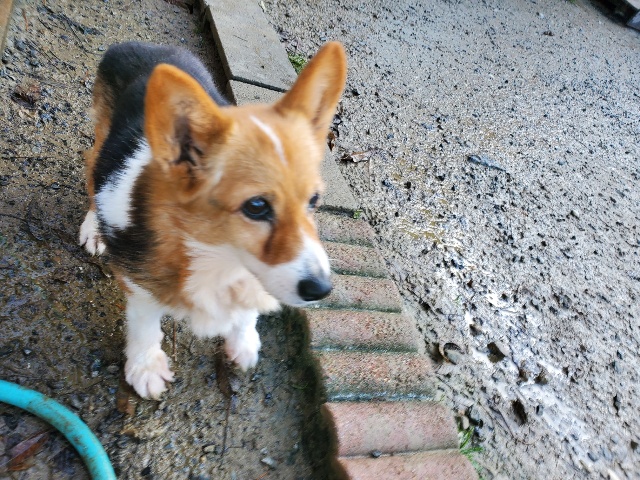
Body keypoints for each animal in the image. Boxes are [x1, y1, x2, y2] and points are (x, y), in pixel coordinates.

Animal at [78, 41, 346, 399]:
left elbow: (247, 308)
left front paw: (243, 340)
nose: (320, 290)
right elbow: (145, 325)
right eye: (257, 206)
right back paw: (94, 228)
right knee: (92, 171)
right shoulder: (139, 284)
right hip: (102, 144)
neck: (219, 255)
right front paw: (145, 367)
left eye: (314, 200)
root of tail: (137, 44)